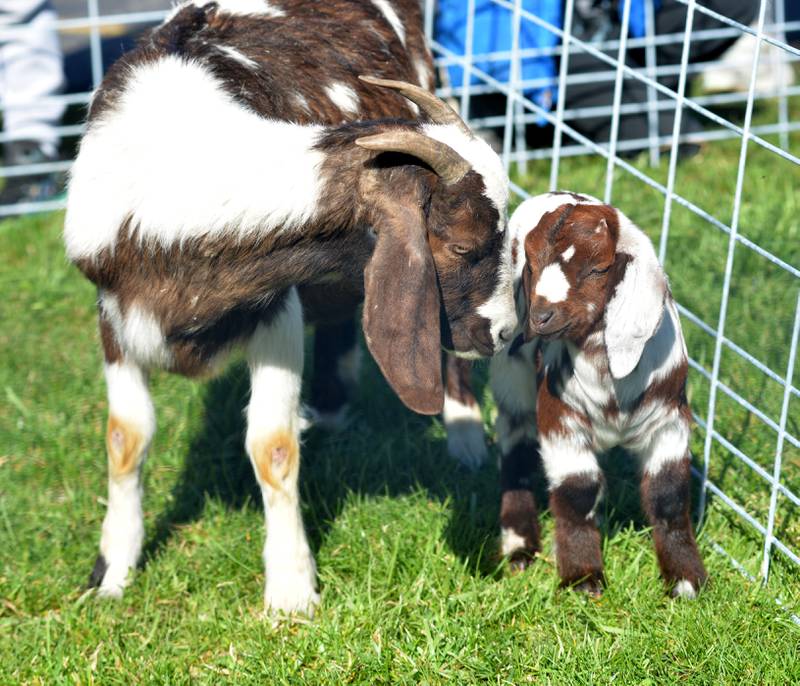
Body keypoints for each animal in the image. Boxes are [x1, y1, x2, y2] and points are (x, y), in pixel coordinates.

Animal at [62, 0, 512, 620]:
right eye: (465, 246)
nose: (504, 331)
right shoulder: (116, 312)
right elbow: (125, 438)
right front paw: (111, 571)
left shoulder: (276, 307)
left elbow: (271, 446)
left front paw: (291, 591)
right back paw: (330, 410)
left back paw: (465, 440)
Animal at [490, 192, 708, 596]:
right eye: (531, 264)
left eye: (597, 269)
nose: (541, 317)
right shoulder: (561, 421)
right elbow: (576, 492)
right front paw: (583, 577)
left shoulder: (669, 422)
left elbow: (669, 496)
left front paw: (687, 579)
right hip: (512, 377)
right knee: (515, 448)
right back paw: (519, 548)